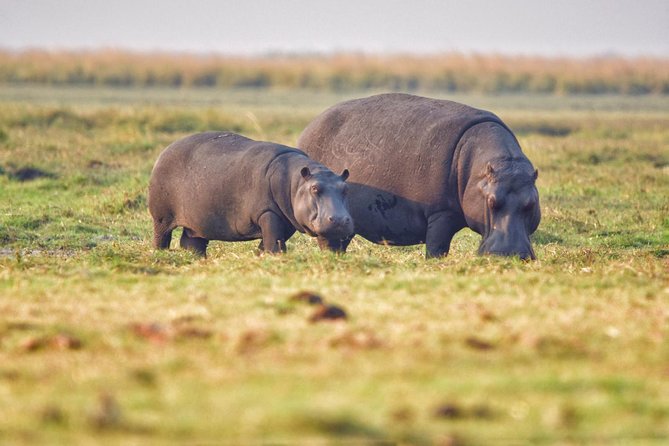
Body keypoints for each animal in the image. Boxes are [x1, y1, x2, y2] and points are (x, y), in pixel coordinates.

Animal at [147, 132, 352, 258]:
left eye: (345, 188)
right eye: (315, 188)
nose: (340, 220)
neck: (295, 182)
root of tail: (164, 151)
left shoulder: (287, 220)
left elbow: (275, 240)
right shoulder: (268, 213)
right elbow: (273, 240)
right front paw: (273, 256)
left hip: (198, 222)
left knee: (191, 242)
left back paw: (198, 260)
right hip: (162, 216)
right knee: (161, 236)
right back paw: (159, 253)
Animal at [300, 94, 540, 262]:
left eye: (532, 204)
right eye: (491, 201)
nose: (509, 255)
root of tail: (310, 126)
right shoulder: (441, 214)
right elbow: (437, 248)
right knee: (329, 242)